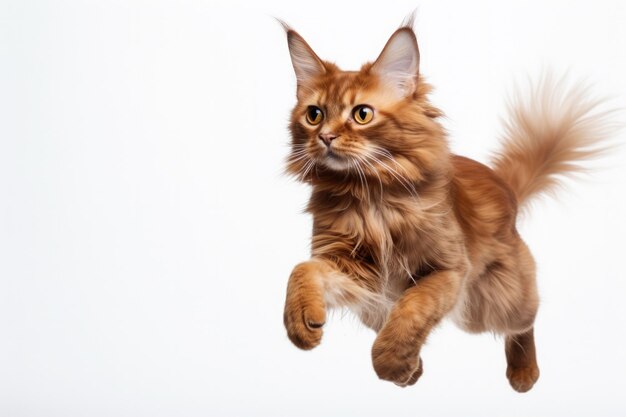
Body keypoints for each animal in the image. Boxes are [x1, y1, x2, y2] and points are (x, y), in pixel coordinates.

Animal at [278, 16, 608, 392]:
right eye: (314, 115)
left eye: (362, 114)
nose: (325, 137)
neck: (370, 198)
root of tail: (504, 185)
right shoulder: (355, 271)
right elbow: (302, 271)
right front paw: (301, 323)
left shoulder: (448, 269)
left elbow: (412, 308)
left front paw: (391, 362)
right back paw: (415, 372)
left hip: (495, 303)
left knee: (524, 322)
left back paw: (523, 372)